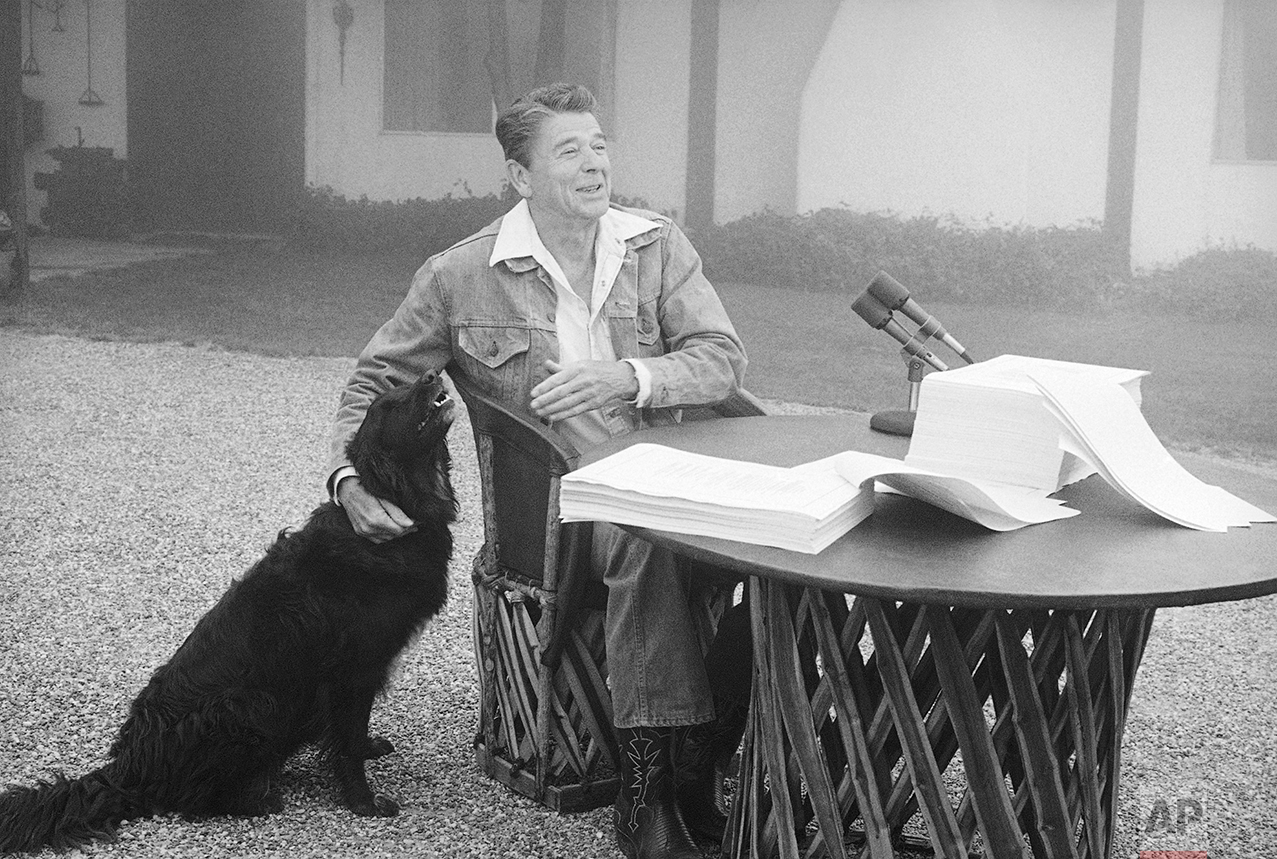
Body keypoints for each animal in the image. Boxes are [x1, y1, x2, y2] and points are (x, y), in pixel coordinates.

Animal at [0, 370, 459, 852]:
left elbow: (354, 729)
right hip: (251, 705)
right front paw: (362, 801)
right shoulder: (351, 669)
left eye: (405, 389)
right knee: (191, 802)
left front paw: (369, 748)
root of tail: (130, 766)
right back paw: (259, 798)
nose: (432, 375)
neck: (399, 504)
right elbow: (346, 742)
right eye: (390, 405)